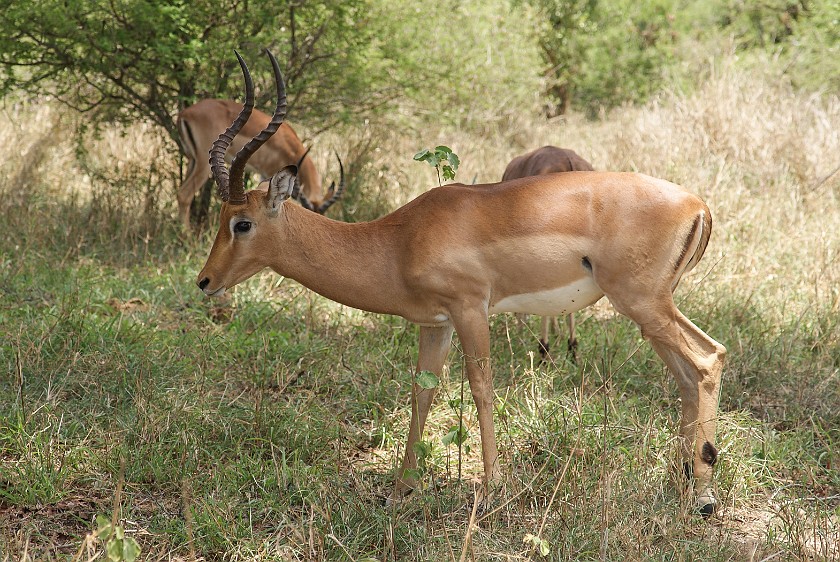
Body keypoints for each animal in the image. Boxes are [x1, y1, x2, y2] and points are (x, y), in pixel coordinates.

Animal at [177, 98, 344, 225]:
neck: (287, 144)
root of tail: (185, 113)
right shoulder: (267, 173)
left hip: (192, 161)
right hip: (203, 164)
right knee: (184, 194)